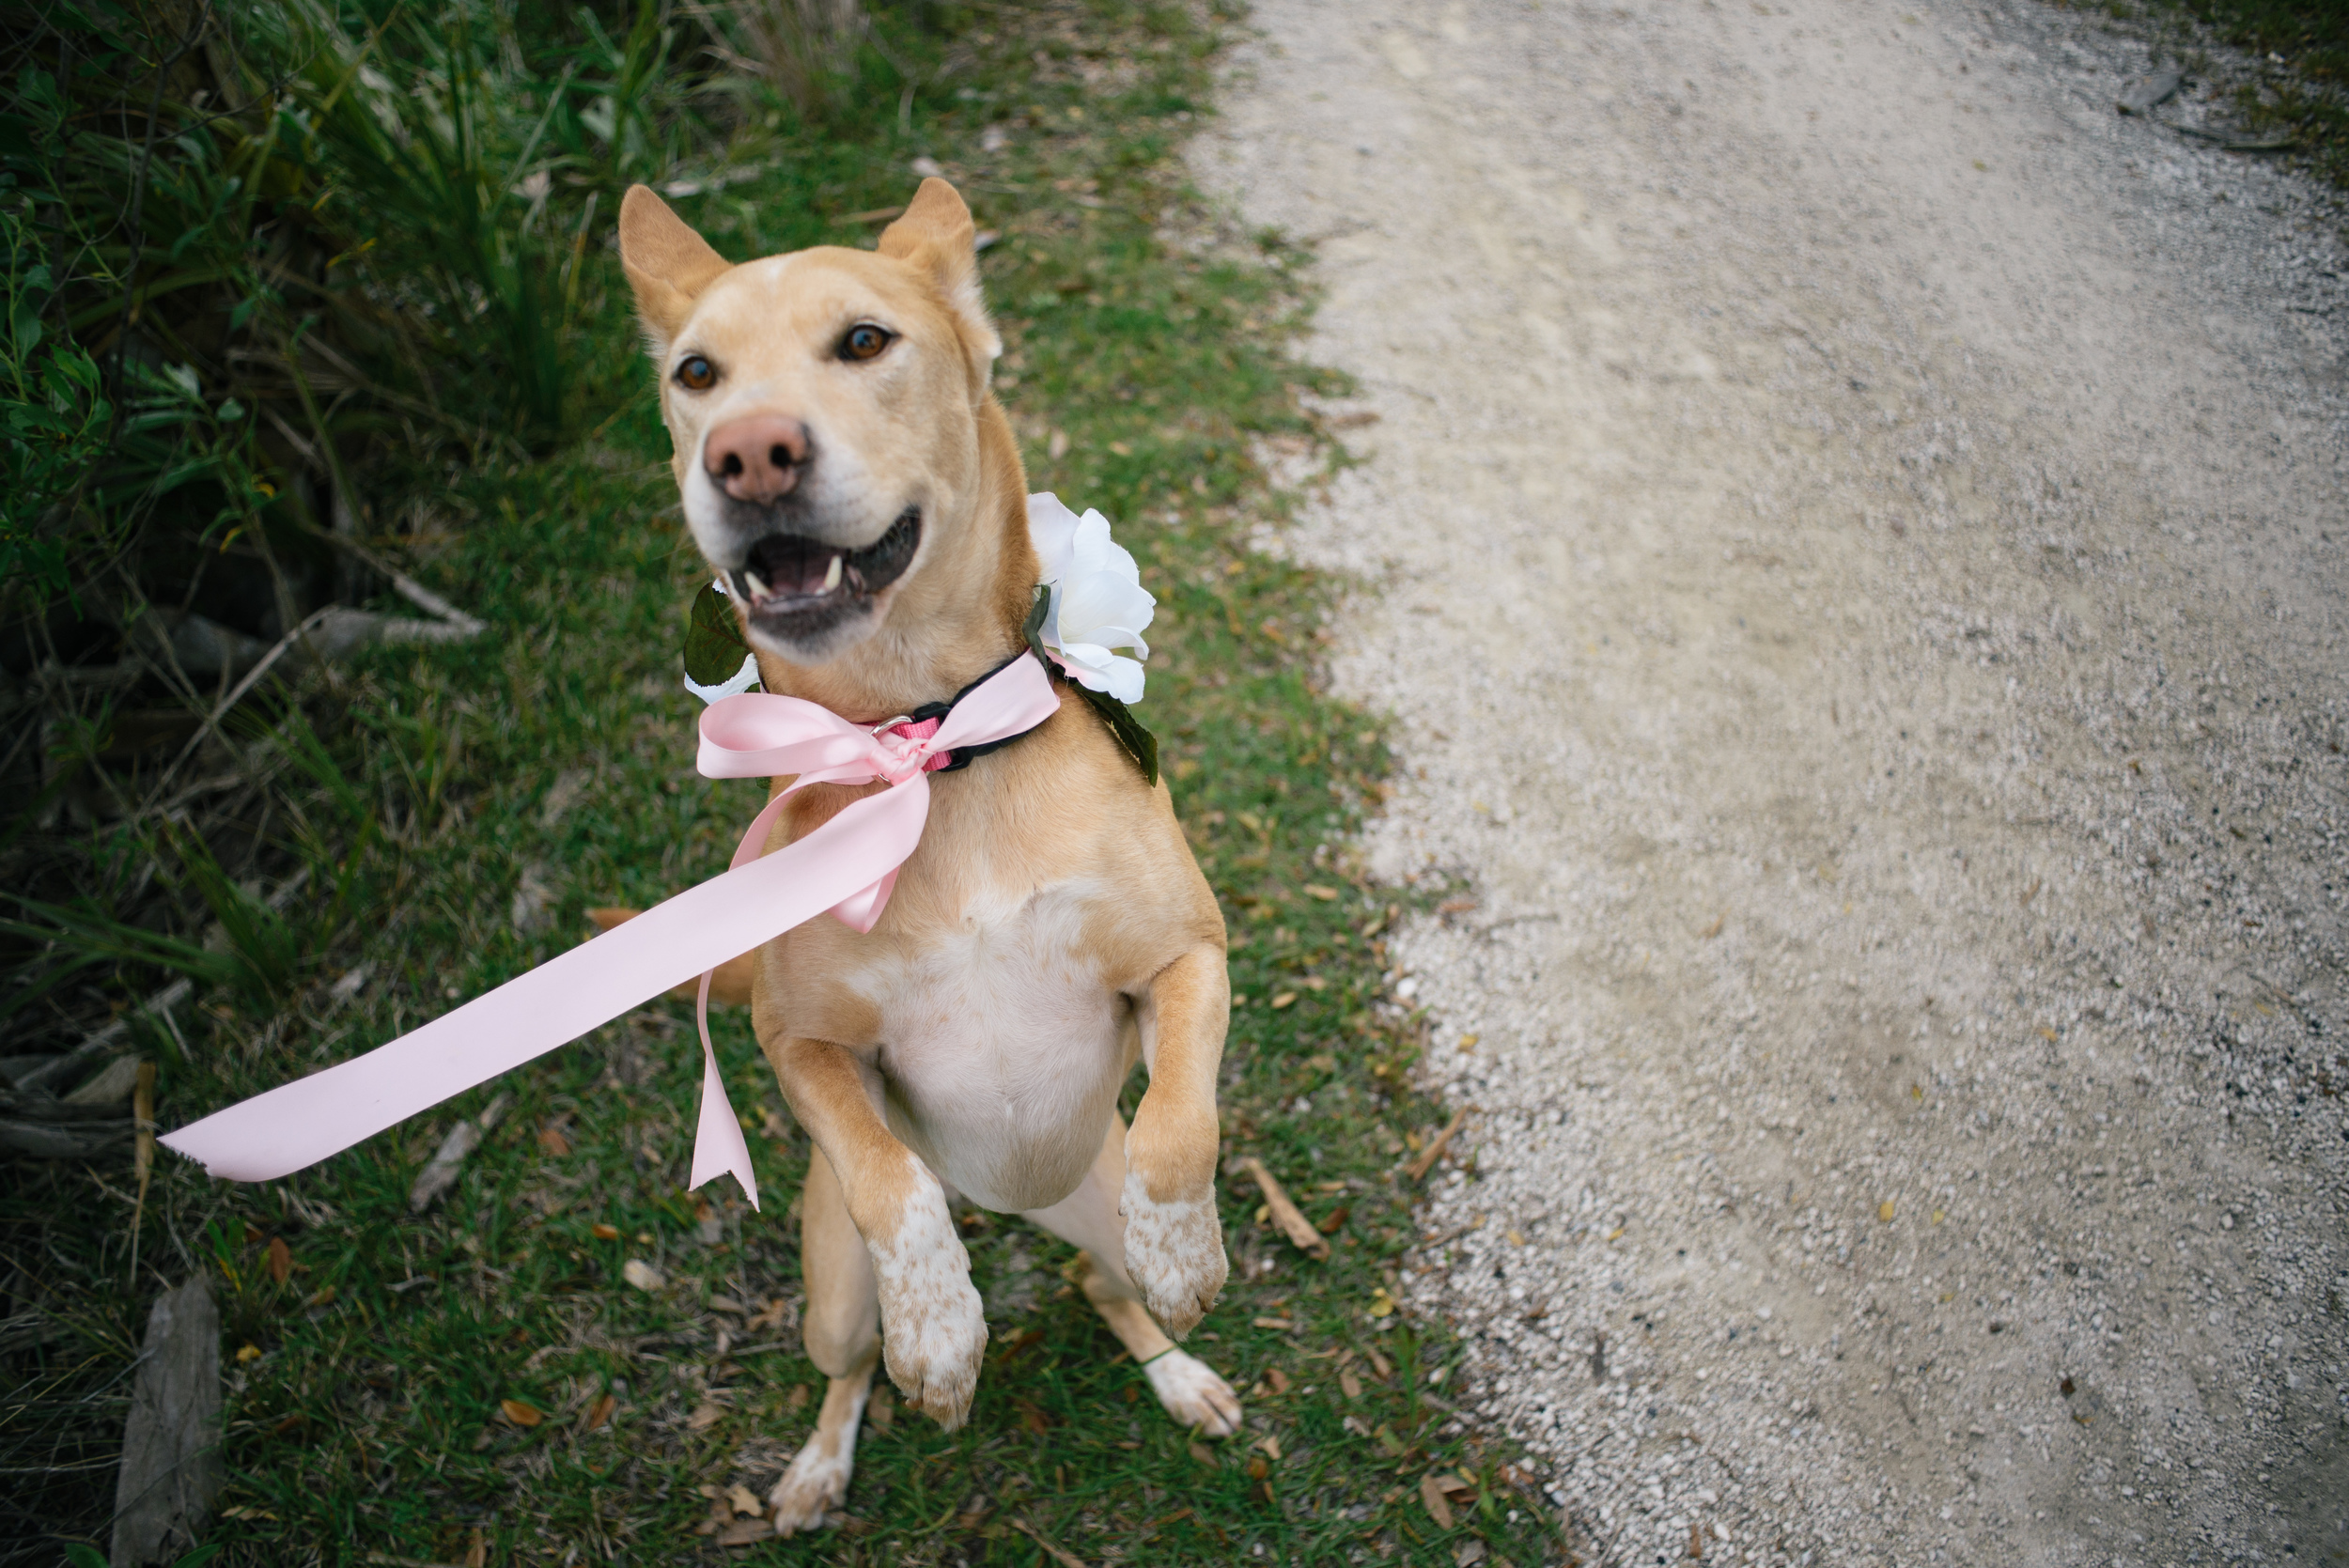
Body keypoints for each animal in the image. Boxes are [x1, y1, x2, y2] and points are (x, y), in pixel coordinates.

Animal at [615, 175, 1240, 1530]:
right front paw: (945, 1332)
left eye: (865, 340)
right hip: (831, 1292)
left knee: (1111, 1287)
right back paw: (820, 1463)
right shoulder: (800, 1046)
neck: (931, 748)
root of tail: (1008, 1200)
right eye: (696, 372)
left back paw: (1179, 1368)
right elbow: (886, 1179)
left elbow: (1182, 1127)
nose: (745, 451)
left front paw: (1191, 1253)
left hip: (1095, 1202)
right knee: (852, 1360)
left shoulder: (1187, 959)